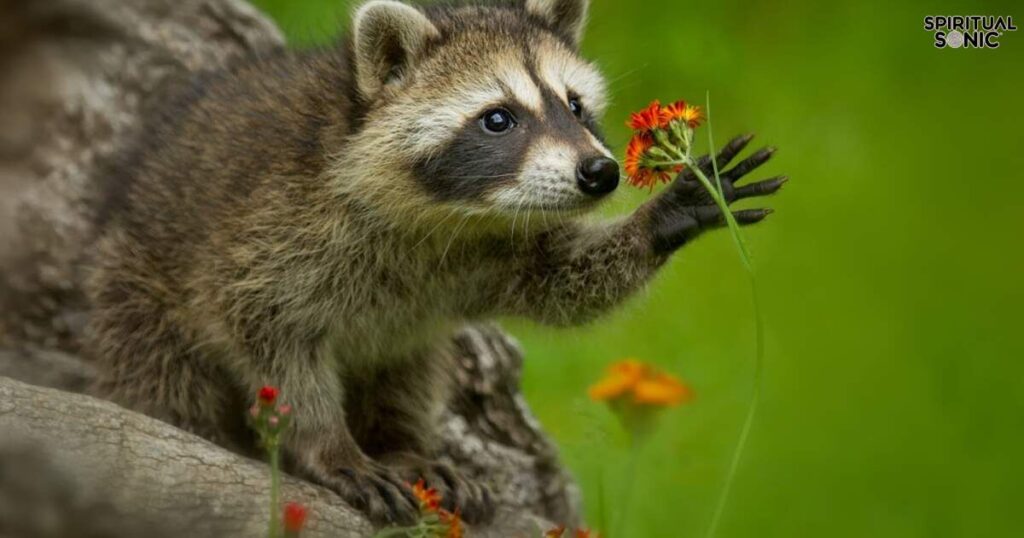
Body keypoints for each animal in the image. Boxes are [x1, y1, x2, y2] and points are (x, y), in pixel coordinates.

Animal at [86, 0, 782, 524]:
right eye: (498, 119)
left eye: (575, 105)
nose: (600, 173)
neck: (444, 215)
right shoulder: (270, 232)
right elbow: (271, 340)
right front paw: (327, 444)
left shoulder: (492, 247)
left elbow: (560, 281)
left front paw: (666, 215)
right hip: (134, 294)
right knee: (166, 382)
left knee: (411, 365)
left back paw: (401, 442)